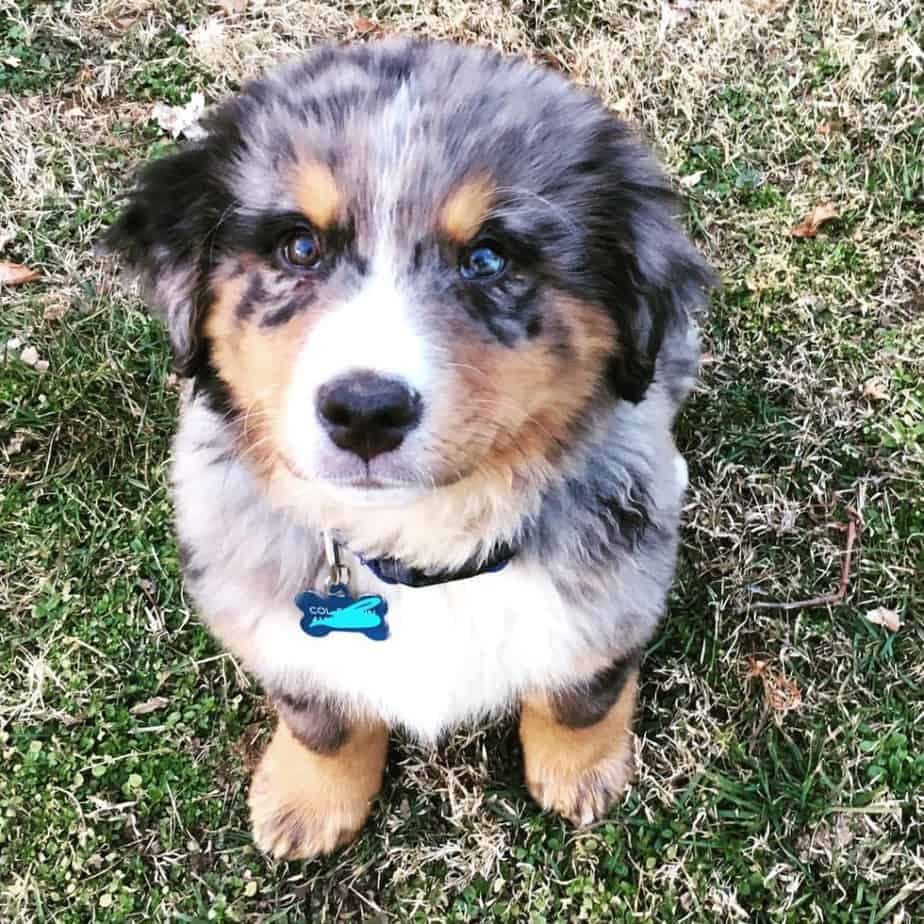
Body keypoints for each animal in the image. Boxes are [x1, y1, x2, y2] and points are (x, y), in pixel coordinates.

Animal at [108, 38, 716, 860]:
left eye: (489, 258)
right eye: (298, 246)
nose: (365, 411)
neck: (420, 546)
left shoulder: (619, 590)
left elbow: (582, 691)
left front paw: (583, 773)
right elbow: (319, 717)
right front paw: (306, 801)